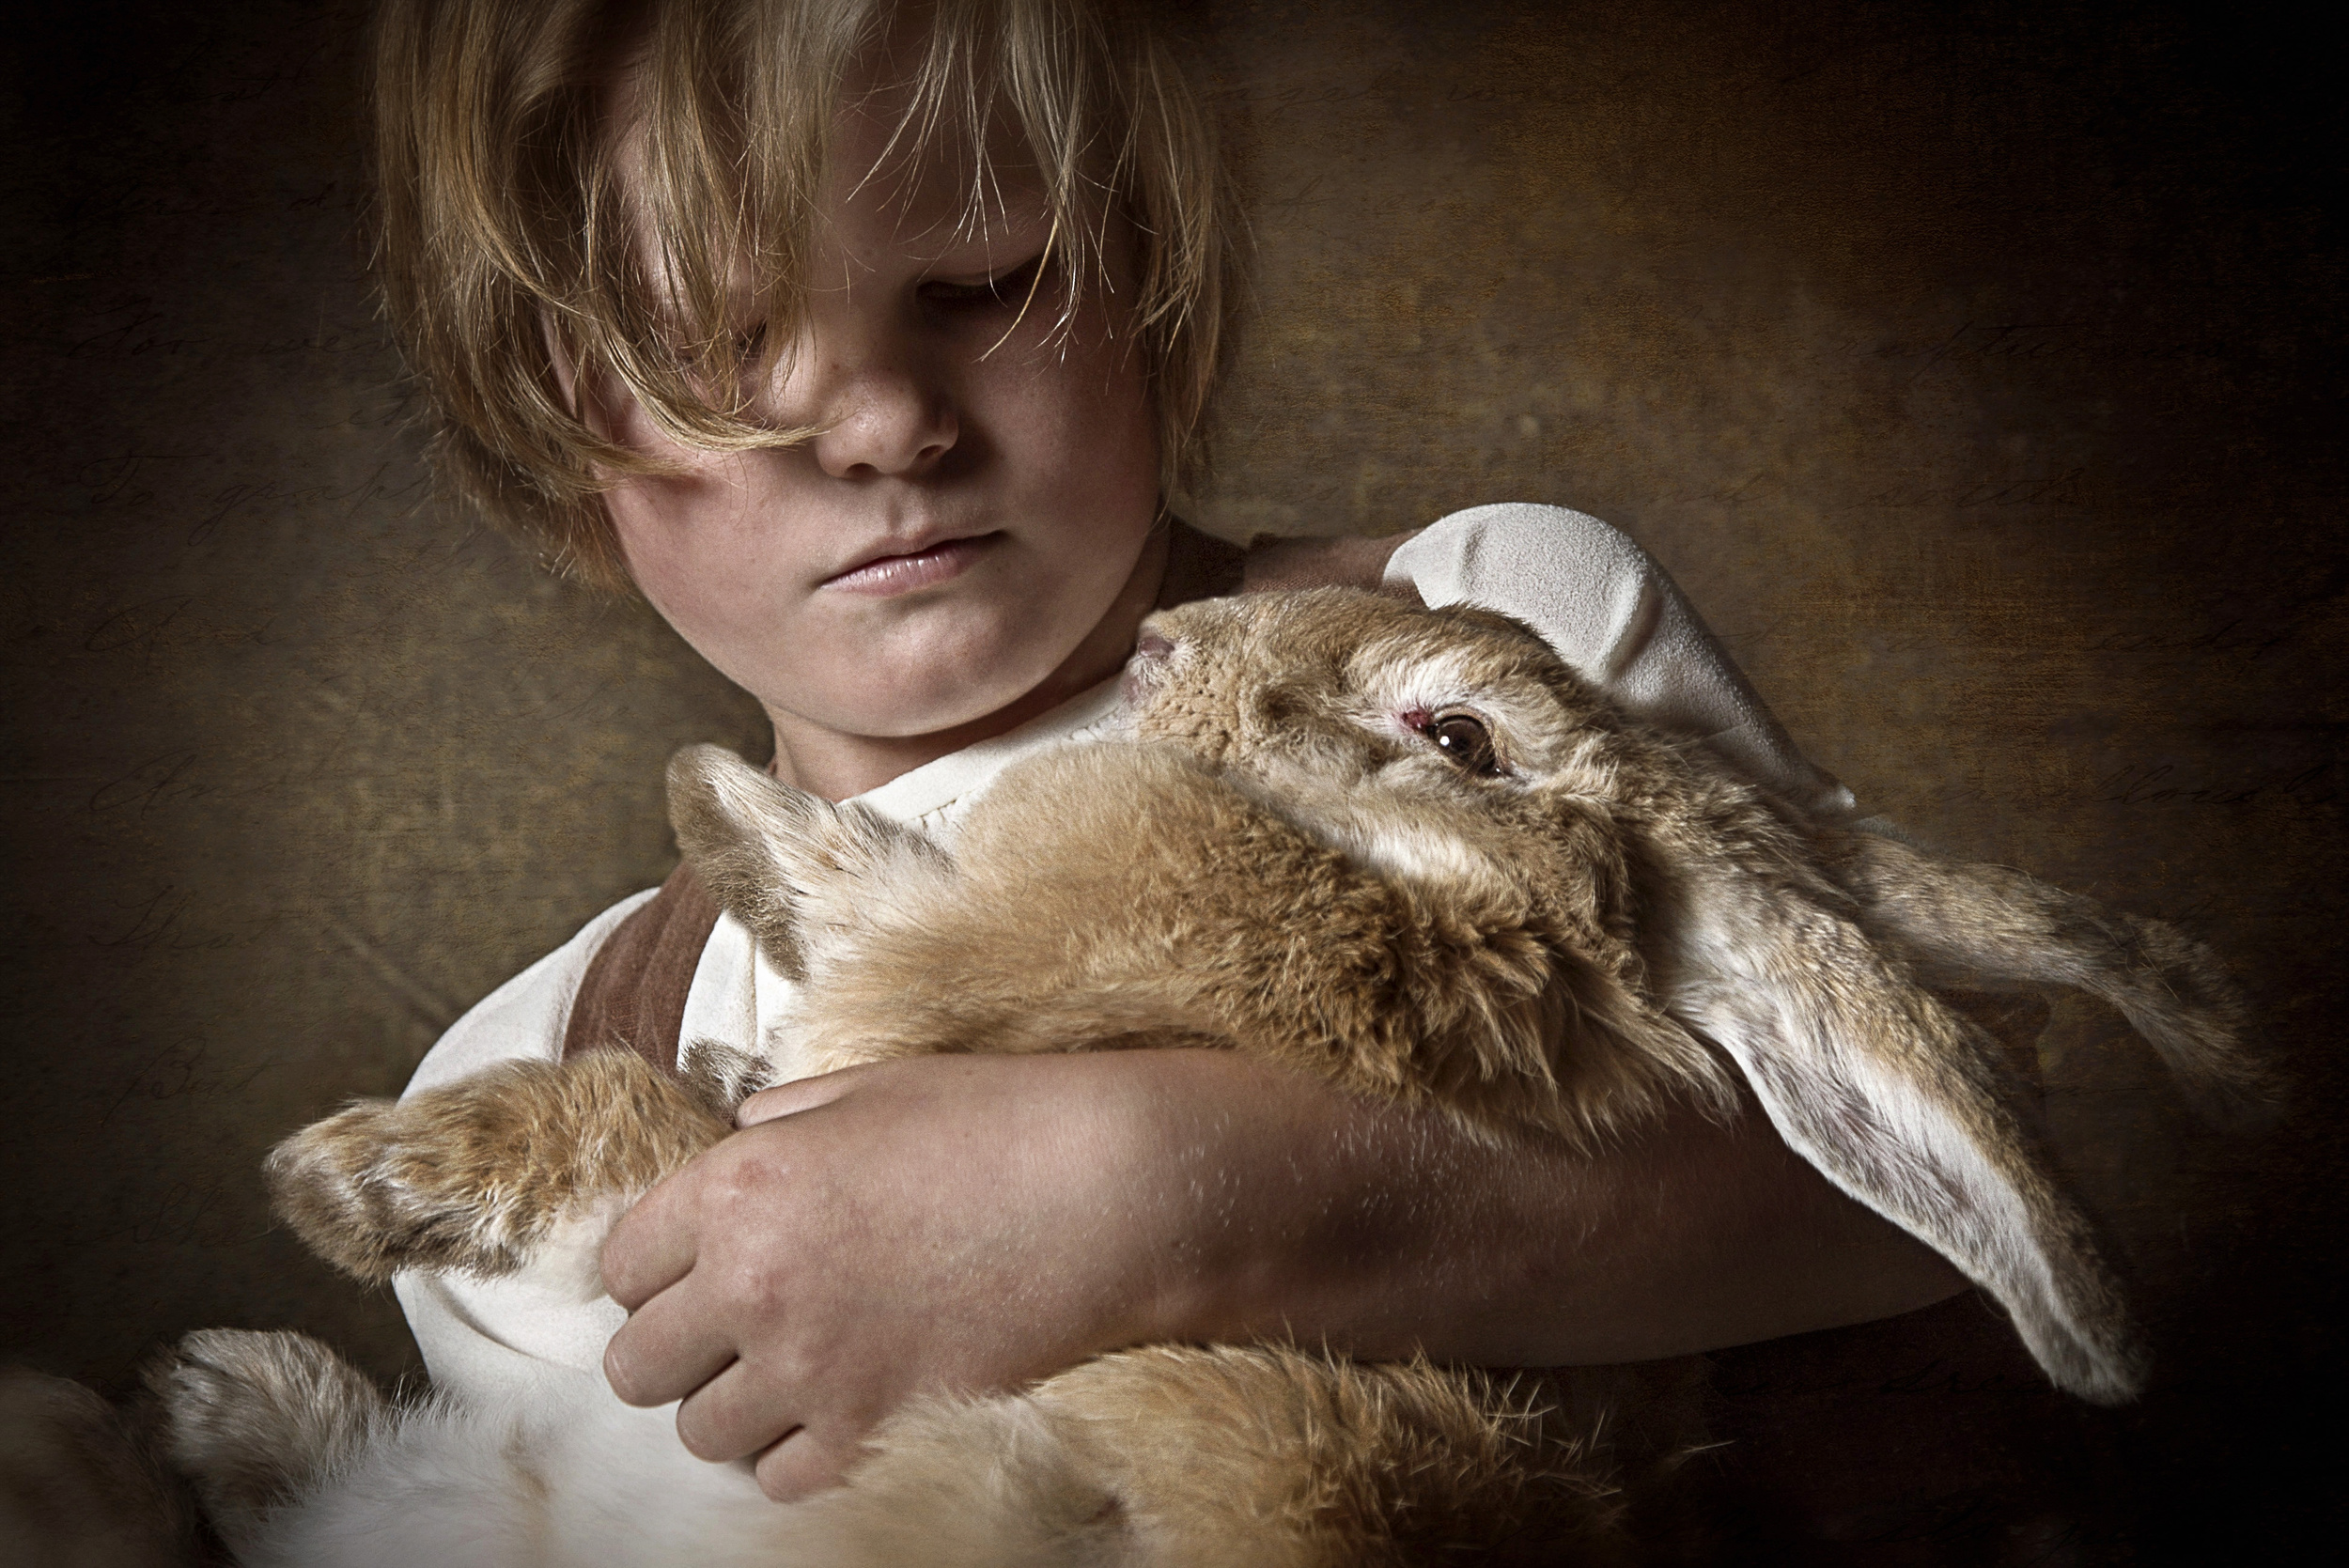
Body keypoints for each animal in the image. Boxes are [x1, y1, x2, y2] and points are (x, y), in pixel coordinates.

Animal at [151, 586, 2265, 1567]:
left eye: (1455, 731)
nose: (1165, 636)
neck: (1399, 929)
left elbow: (654, 1123)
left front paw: (338, 1178)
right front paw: (720, 810)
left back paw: (226, 1385)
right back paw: (234, 1396)